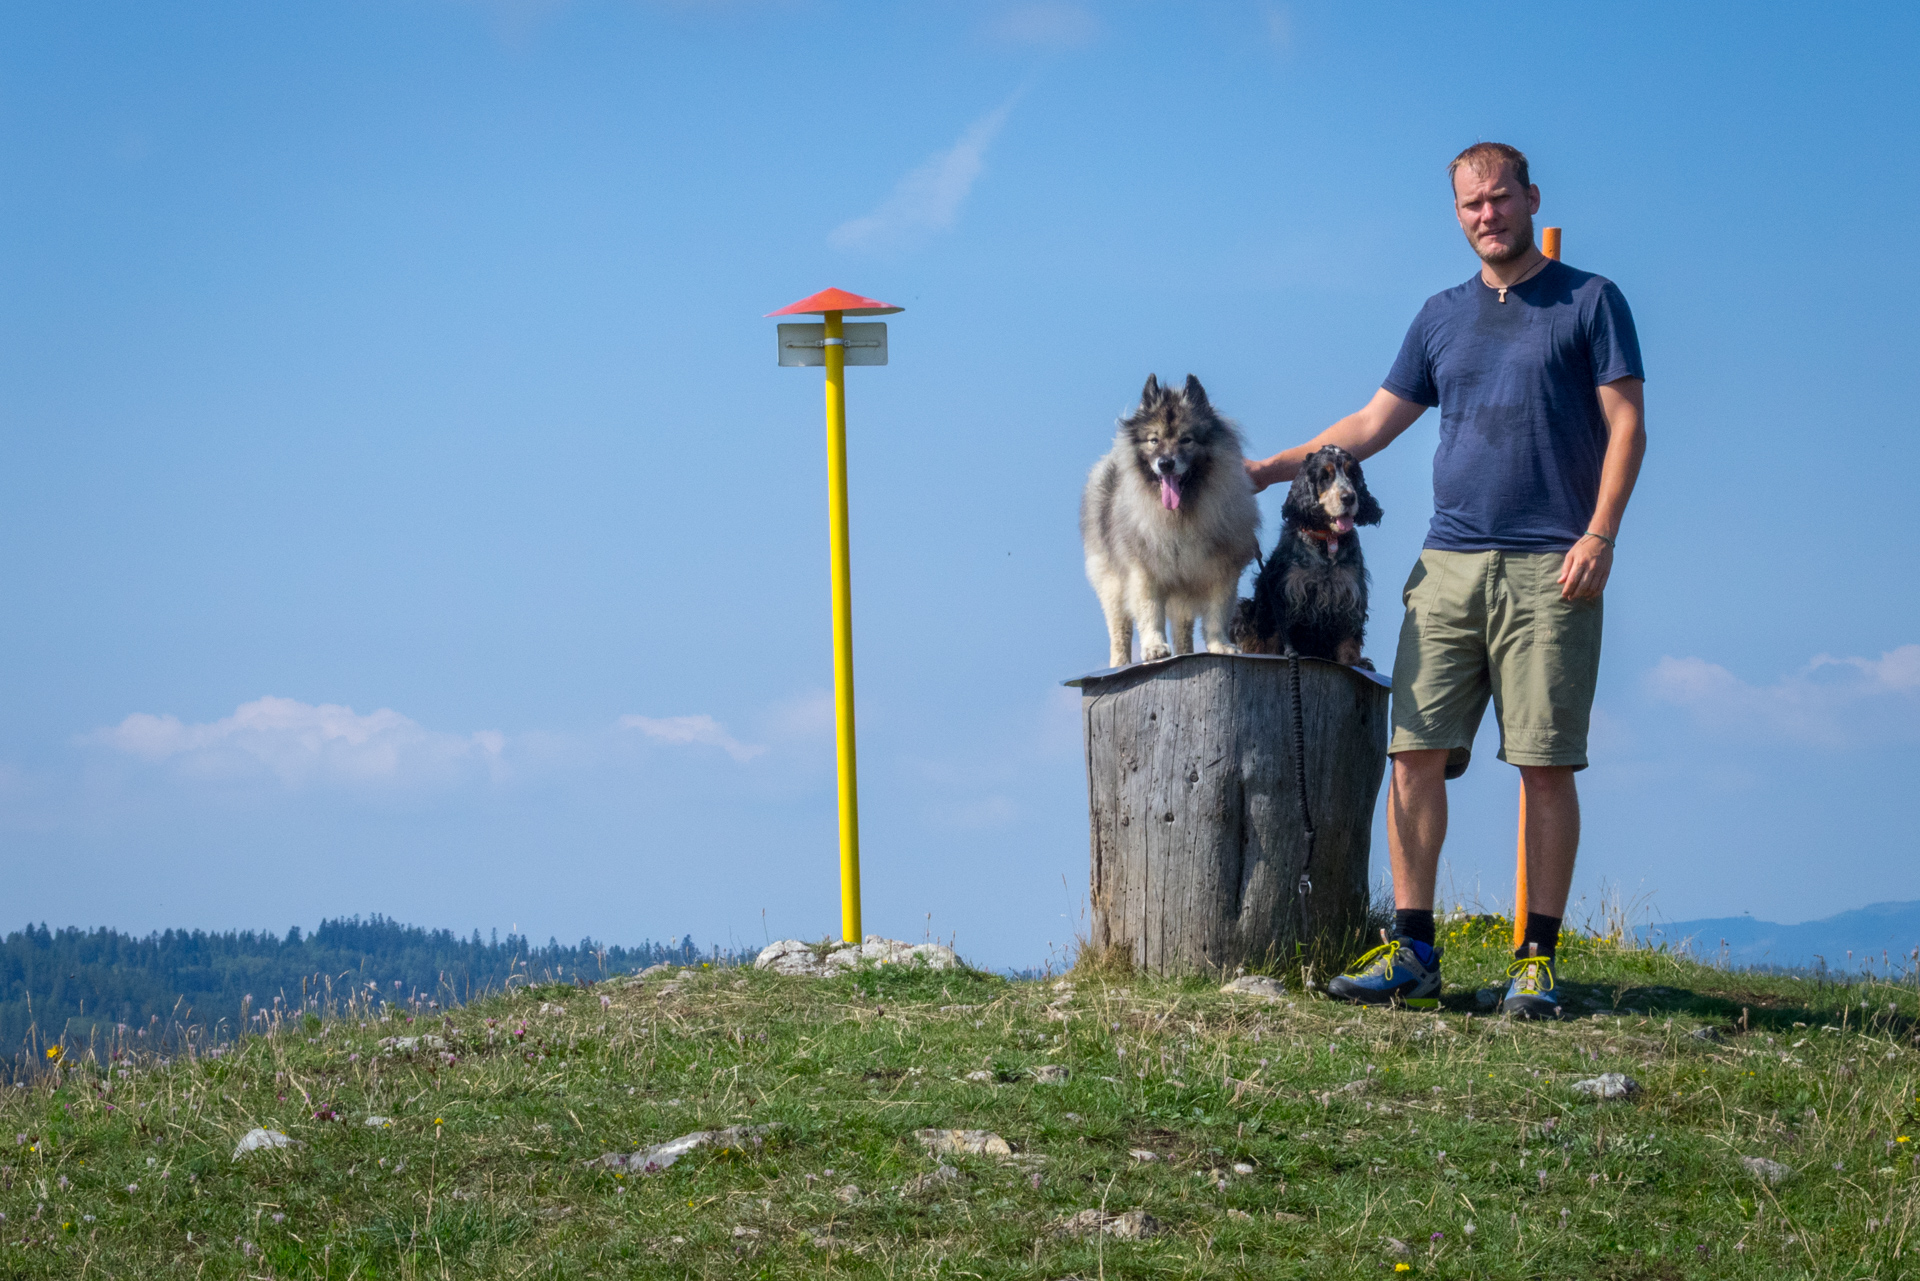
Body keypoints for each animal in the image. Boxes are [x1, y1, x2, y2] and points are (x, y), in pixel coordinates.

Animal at [1082, 372, 1259, 668]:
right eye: (1154, 440)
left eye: (1186, 440)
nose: (1165, 463)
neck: (1180, 515)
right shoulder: (1144, 569)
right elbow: (1150, 611)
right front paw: (1154, 647)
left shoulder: (1221, 569)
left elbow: (1217, 614)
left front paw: (1220, 645)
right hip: (1112, 583)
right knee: (1119, 630)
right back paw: (1119, 663)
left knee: (1182, 629)